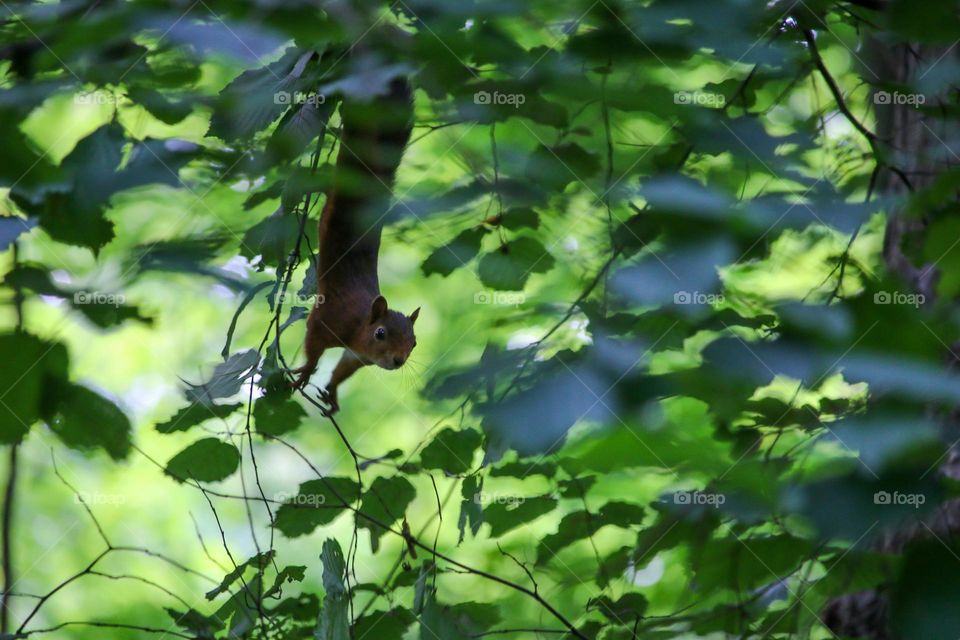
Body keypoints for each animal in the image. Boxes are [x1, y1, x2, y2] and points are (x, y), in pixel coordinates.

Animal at [290, 75, 418, 413]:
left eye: (414, 342)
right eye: (381, 333)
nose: (398, 361)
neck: (360, 327)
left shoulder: (358, 355)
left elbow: (343, 368)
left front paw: (332, 391)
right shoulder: (329, 319)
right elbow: (313, 344)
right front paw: (307, 371)